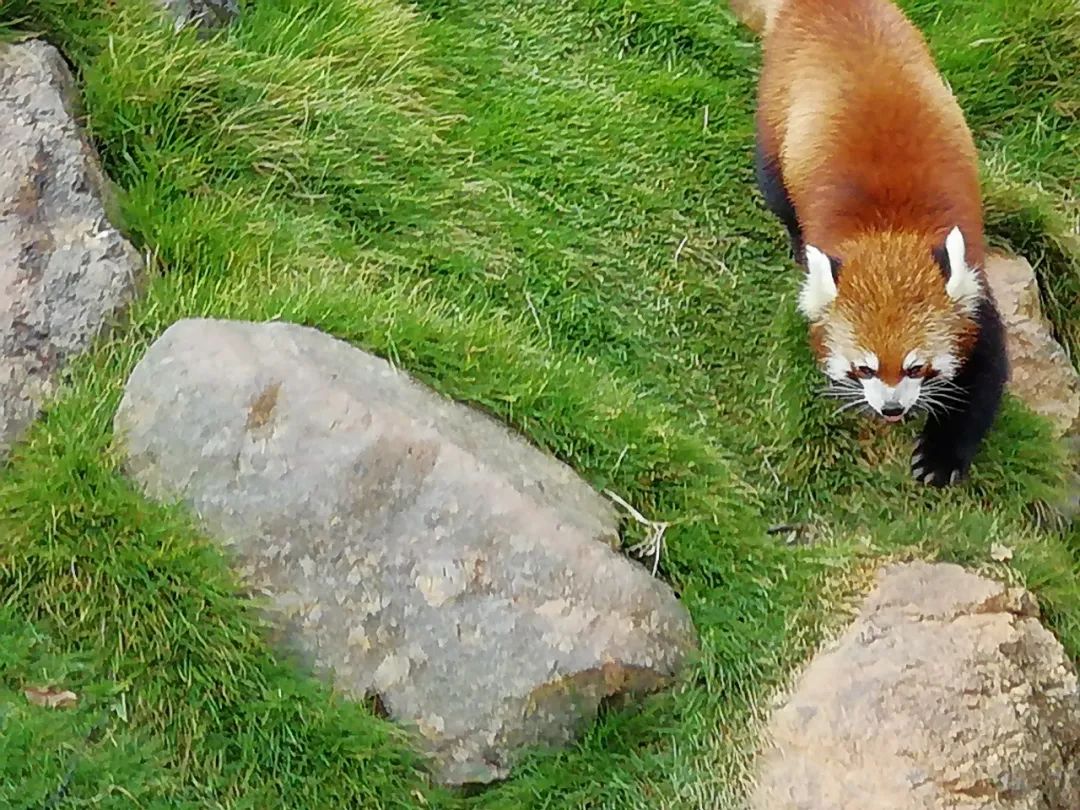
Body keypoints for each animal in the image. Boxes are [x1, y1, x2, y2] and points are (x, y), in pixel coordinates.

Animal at [756, 0, 1006, 486]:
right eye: (864, 368)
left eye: (916, 366)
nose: (892, 408)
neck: (889, 235)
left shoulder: (974, 290)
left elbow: (984, 378)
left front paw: (941, 457)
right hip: (775, 115)